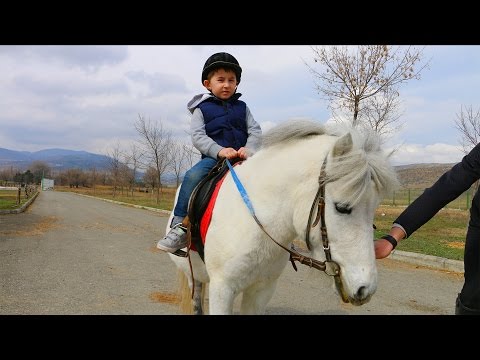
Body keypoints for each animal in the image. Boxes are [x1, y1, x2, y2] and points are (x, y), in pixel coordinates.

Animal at [167, 119, 400, 314]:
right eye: (342, 208)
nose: (365, 289)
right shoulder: (222, 289)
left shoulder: (262, 290)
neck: (254, 220)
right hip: (194, 276)